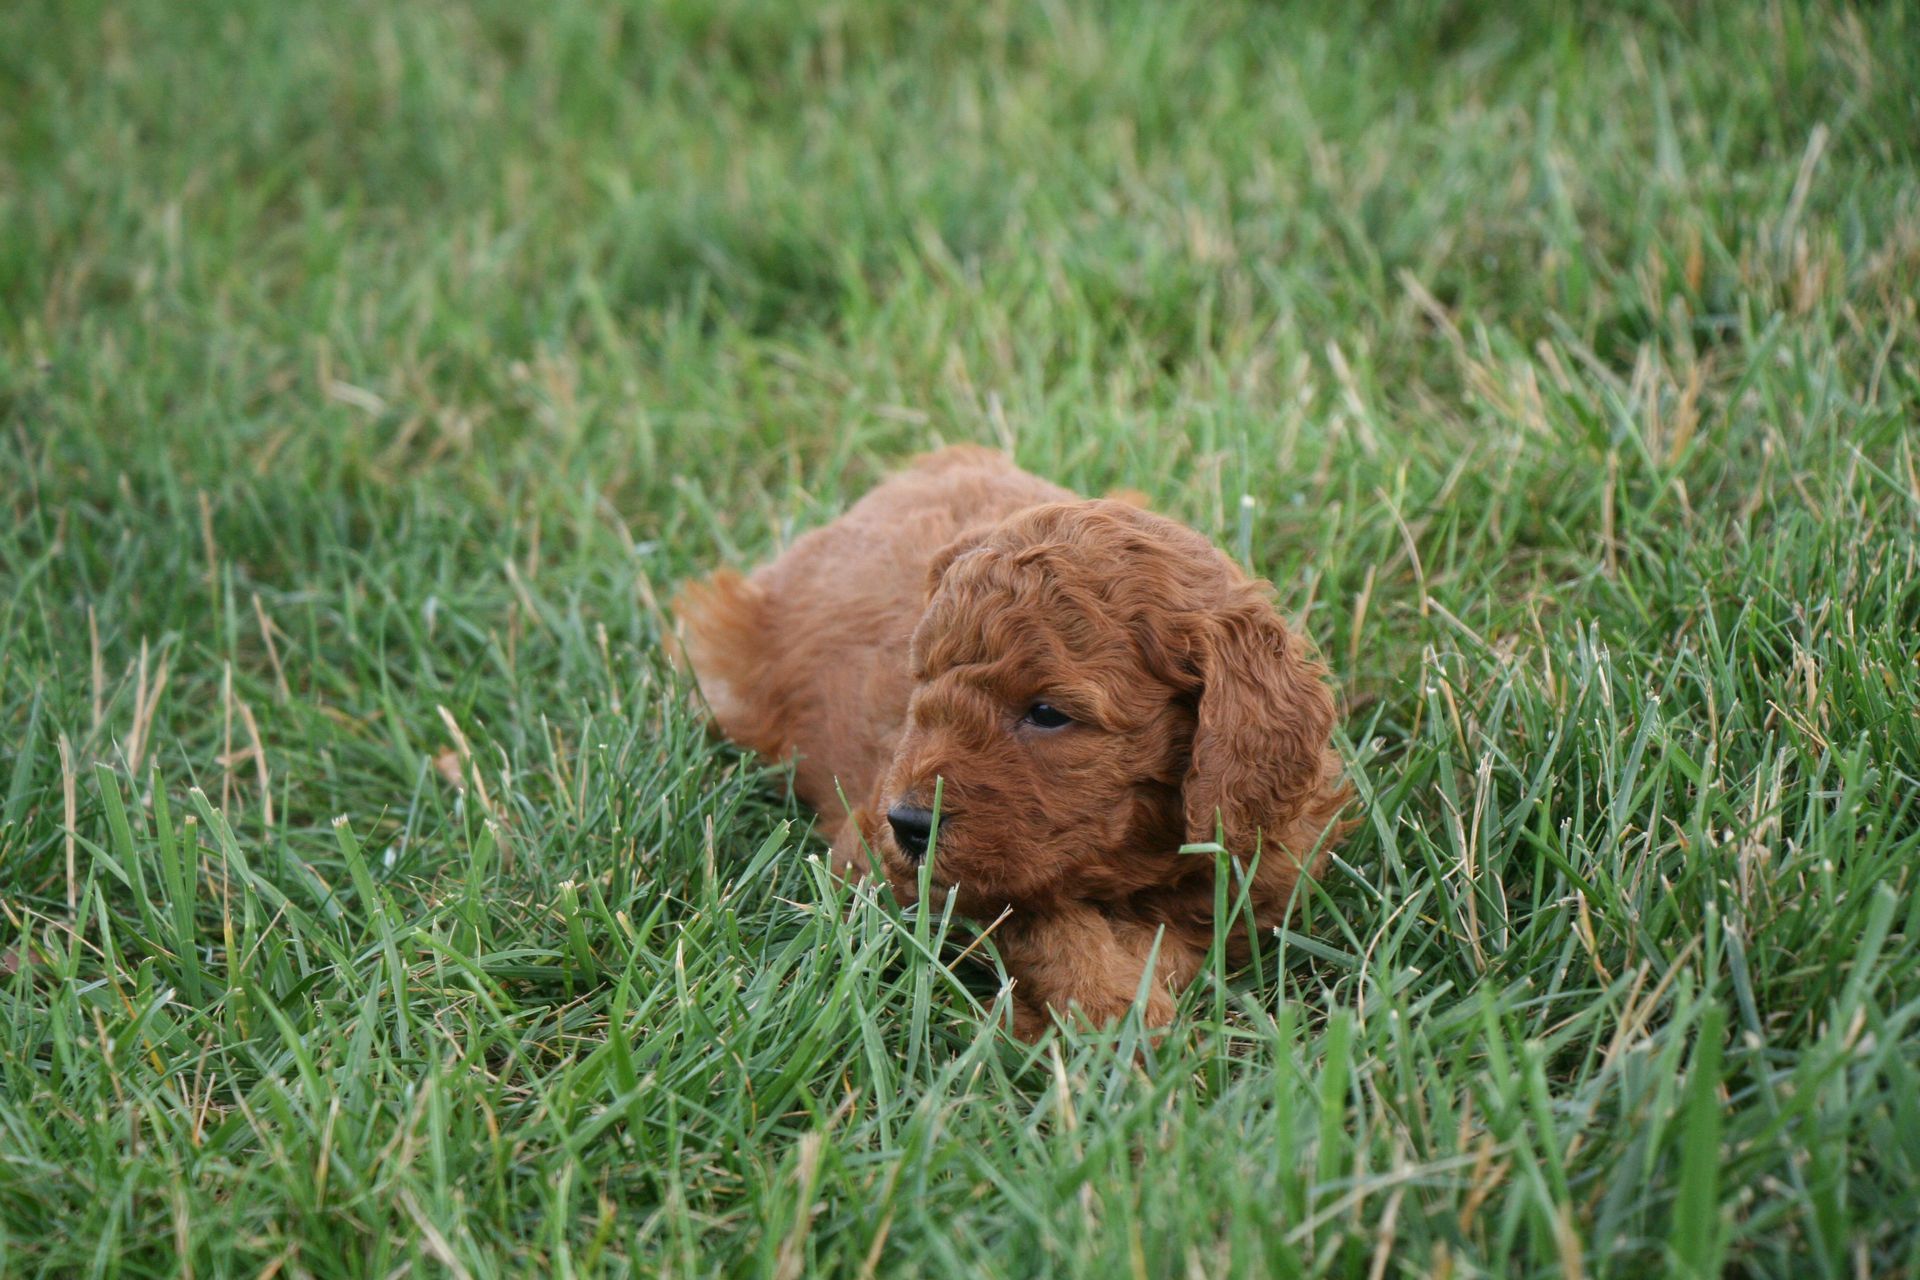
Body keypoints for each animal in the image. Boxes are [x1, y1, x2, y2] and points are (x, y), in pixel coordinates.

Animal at [674, 446, 1347, 1038]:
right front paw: (1105, 1009)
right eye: (920, 681)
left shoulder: (1259, 870)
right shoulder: (873, 849)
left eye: (1047, 714)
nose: (911, 825)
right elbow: (1035, 915)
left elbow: (1175, 935)